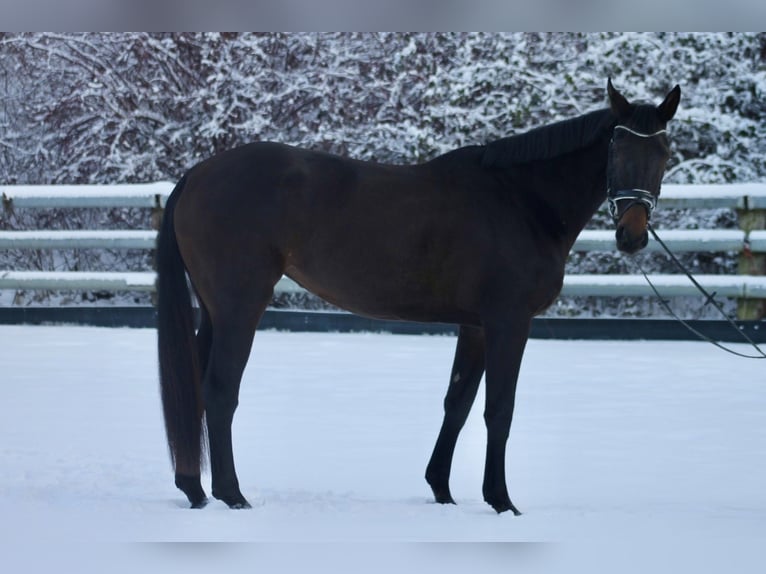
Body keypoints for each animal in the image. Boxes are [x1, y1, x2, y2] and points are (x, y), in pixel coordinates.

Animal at [156, 79, 681, 514]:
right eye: (616, 148)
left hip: (213, 311)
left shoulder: (475, 326)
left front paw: (442, 490)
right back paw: (232, 495)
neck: (521, 200)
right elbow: (499, 410)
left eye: (664, 152)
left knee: (196, 388)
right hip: (239, 308)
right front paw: (502, 501)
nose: (632, 234)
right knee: (220, 390)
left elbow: (458, 404)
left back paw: (194, 489)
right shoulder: (509, 322)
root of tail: (196, 175)